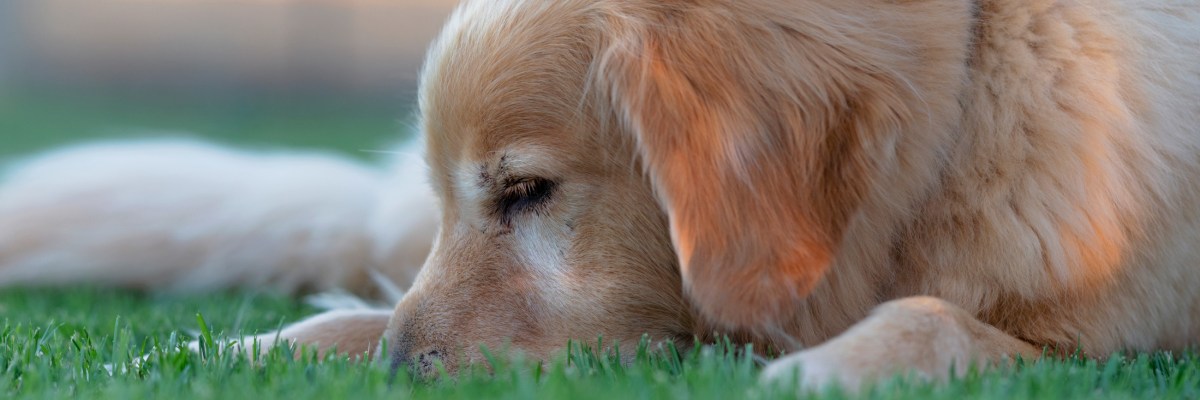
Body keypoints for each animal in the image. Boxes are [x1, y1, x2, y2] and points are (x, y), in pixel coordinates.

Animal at [3, 0, 1200, 390]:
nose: (399, 373)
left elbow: (939, 319)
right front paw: (228, 353)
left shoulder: (1113, 342)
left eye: (525, 191)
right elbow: (349, 312)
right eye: (466, 198)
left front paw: (826, 371)